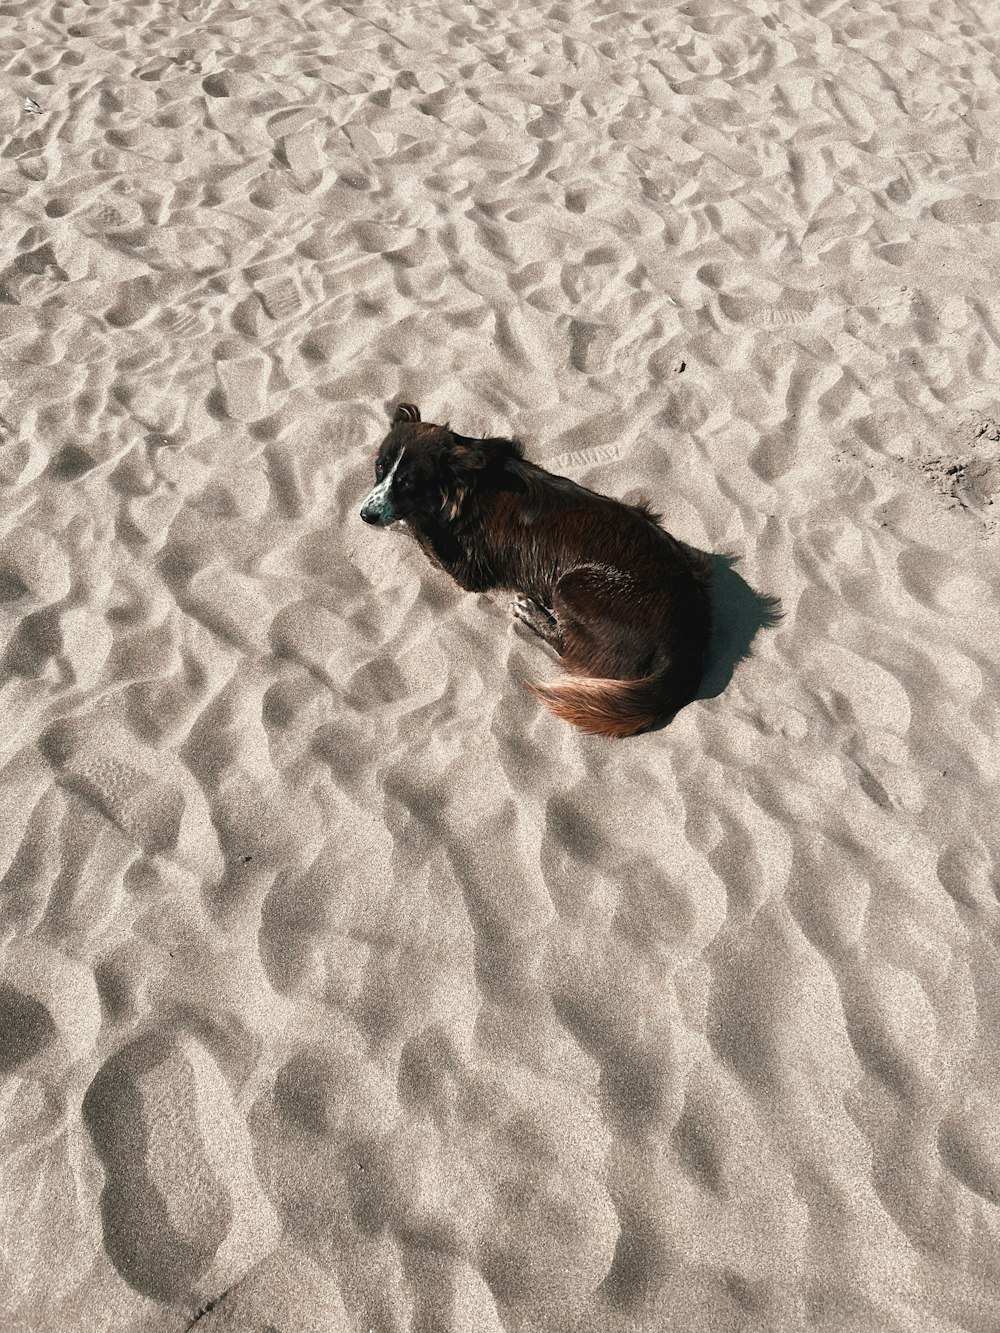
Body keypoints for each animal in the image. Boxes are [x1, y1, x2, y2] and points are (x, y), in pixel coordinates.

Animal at [360, 405, 714, 741]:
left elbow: (416, 527)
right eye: (379, 468)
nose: (365, 515)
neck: (464, 483)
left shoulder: (468, 567)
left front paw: (398, 524)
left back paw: (532, 612)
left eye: (408, 483)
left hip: (572, 585)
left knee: (568, 647)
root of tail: (689, 639)